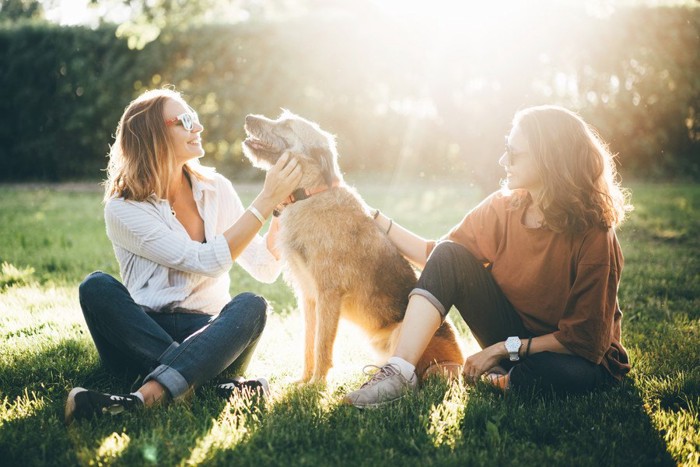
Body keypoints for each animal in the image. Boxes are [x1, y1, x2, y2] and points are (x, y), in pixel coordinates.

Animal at [243, 110, 462, 384]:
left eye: (287, 125)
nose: (248, 117)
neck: (311, 195)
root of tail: (461, 361)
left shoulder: (328, 293)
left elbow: (322, 345)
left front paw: (316, 385)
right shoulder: (309, 297)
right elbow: (308, 343)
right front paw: (304, 381)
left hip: (404, 334)